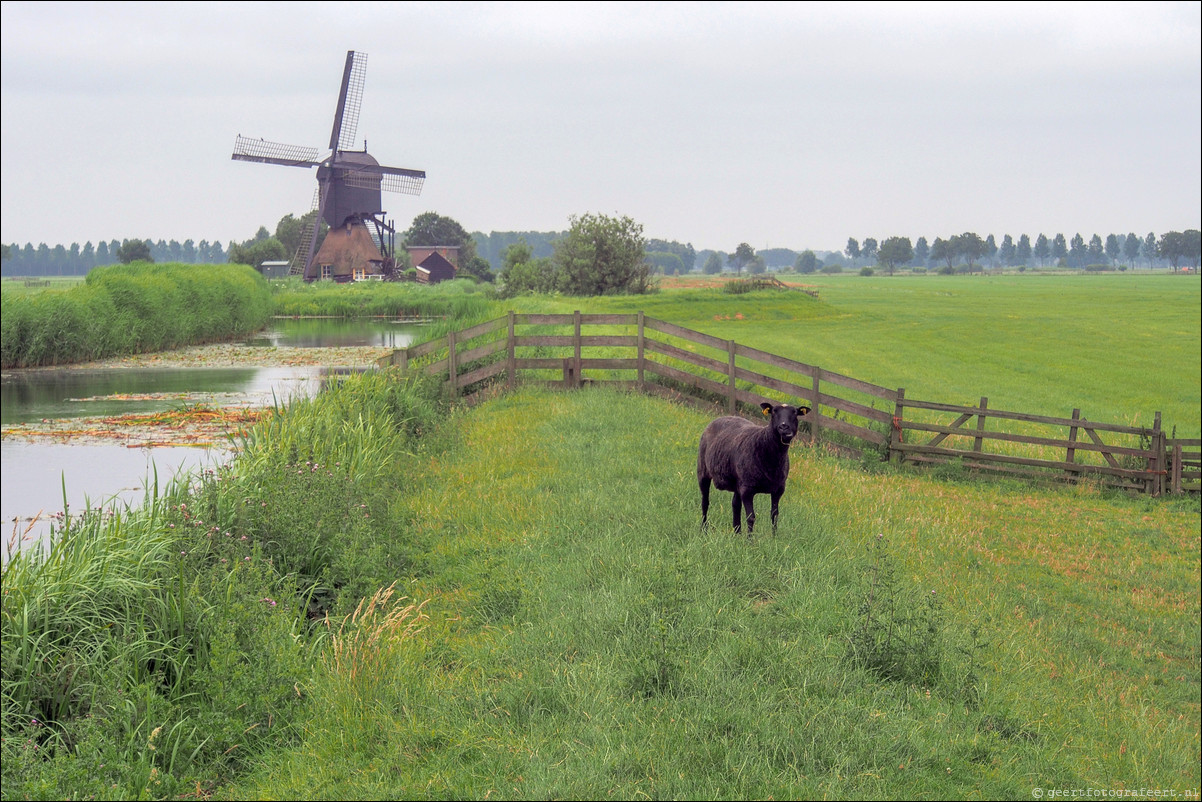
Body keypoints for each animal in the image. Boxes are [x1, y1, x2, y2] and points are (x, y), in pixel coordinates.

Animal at [701, 401, 812, 538]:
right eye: (774, 412)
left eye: (795, 413)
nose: (784, 427)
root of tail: (721, 417)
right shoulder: (747, 489)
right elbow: (751, 517)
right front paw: (750, 540)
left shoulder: (778, 489)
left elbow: (774, 515)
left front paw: (774, 538)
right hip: (703, 471)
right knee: (705, 502)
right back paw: (703, 529)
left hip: (738, 482)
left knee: (735, 505)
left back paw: (737, 533)